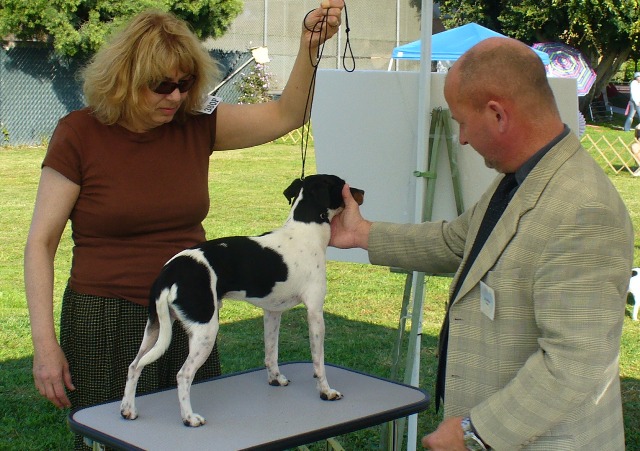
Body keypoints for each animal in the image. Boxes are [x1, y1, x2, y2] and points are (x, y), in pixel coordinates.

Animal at [120, 174, 364, 428]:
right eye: (343, 185)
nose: (363, 193)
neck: (305, 230)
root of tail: (170, 272)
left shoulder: (272, 312)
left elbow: (271, 353)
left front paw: (275, 379)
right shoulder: (315, 312)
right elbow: (319, 362)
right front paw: (326, 392)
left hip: (155, 328)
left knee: (134, 365)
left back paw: (128, 409)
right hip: (205, 331)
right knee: (183, 375)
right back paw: (189, 418)